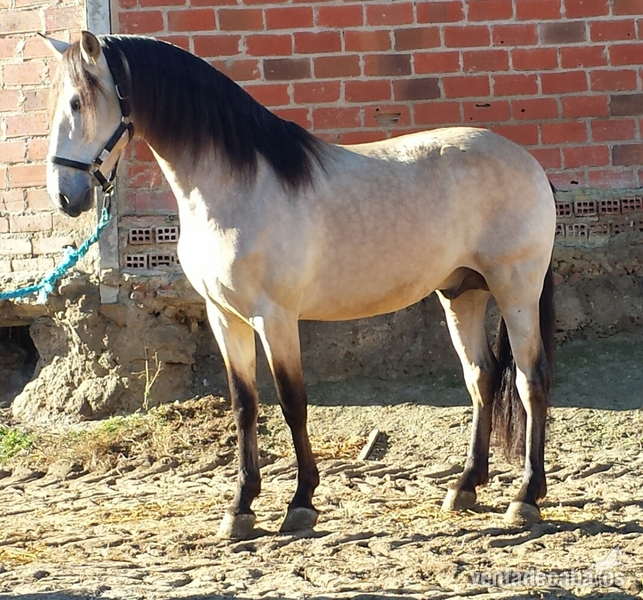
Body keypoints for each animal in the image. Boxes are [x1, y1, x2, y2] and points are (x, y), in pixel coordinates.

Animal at [44, 31, 556, 539]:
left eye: (77, 102)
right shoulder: (223, 316)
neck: (237, 187)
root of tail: (529, 162)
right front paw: (240, 507)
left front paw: (301, 502)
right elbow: (244, 405)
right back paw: (466, 486)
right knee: (481, 378)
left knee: (530, 381)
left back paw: (525, 497)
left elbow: (293, 402)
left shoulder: (274, 316)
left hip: (516, 291)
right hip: (462, 292)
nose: (65, 196)